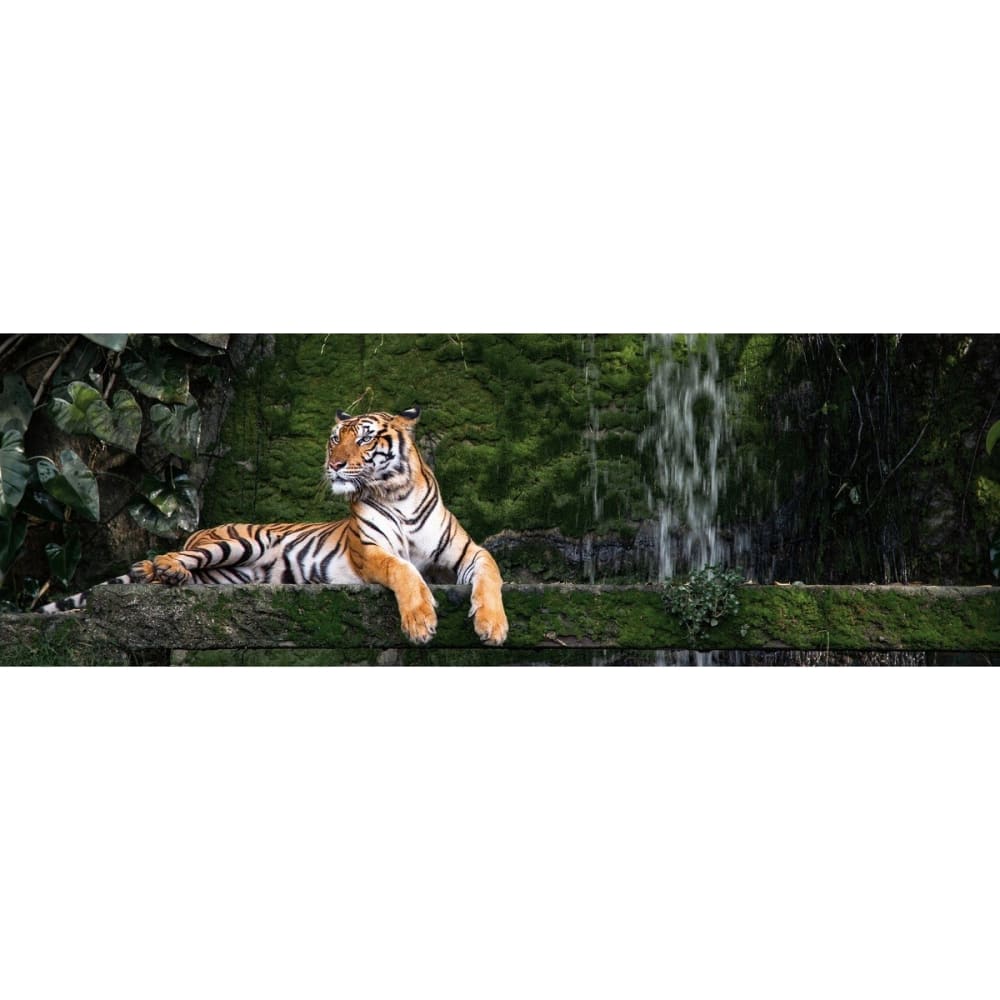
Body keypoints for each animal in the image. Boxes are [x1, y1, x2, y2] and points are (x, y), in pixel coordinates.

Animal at [40, 407, 509, 646]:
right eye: (334, 438)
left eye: (364, 437)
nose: (334, 465)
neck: (398, 493)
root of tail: (199, 531)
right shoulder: (371, 551)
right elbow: (405, 571)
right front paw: (420, 622)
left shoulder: (468, 552)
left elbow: (491, 575)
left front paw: (493, 626)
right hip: (232, 544)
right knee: (174, 556)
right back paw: (159, 567)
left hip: (226, 576)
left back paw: (165, 576)